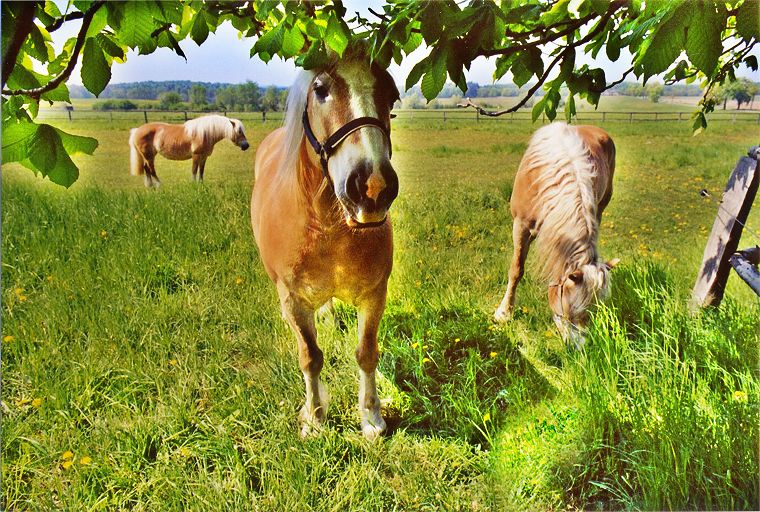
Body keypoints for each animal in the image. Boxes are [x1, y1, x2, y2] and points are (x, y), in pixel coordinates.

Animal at [252, 49, 400, 440]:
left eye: (391, 94)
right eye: (320, 90)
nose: (373, 185)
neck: (331, 229)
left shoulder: (374, 294)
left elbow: (366, 353)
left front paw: (371, 418)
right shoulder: (293, 299)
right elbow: (310, 357)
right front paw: (315, 418)